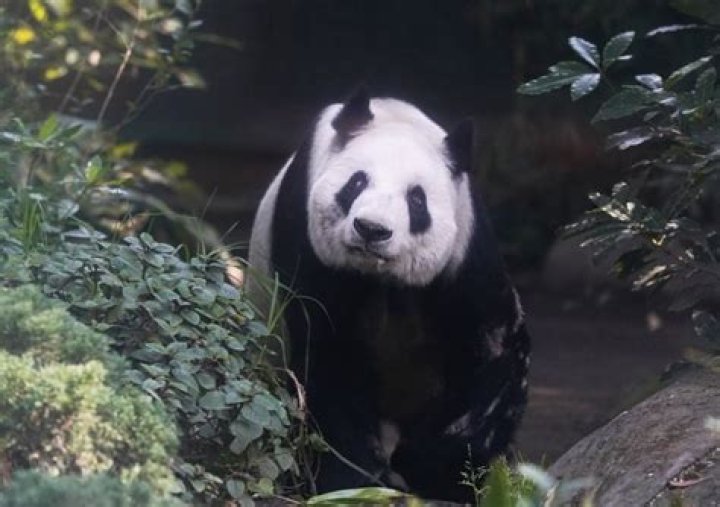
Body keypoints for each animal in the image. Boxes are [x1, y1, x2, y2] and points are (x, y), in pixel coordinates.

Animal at [248, 88, 530, 502]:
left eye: (417, 199)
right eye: (356, 184)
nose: (372, 229)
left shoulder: (464, 253)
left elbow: (493, 352)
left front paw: (436, 471)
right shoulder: (308, 246)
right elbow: (329, 361)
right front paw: (358, 480)